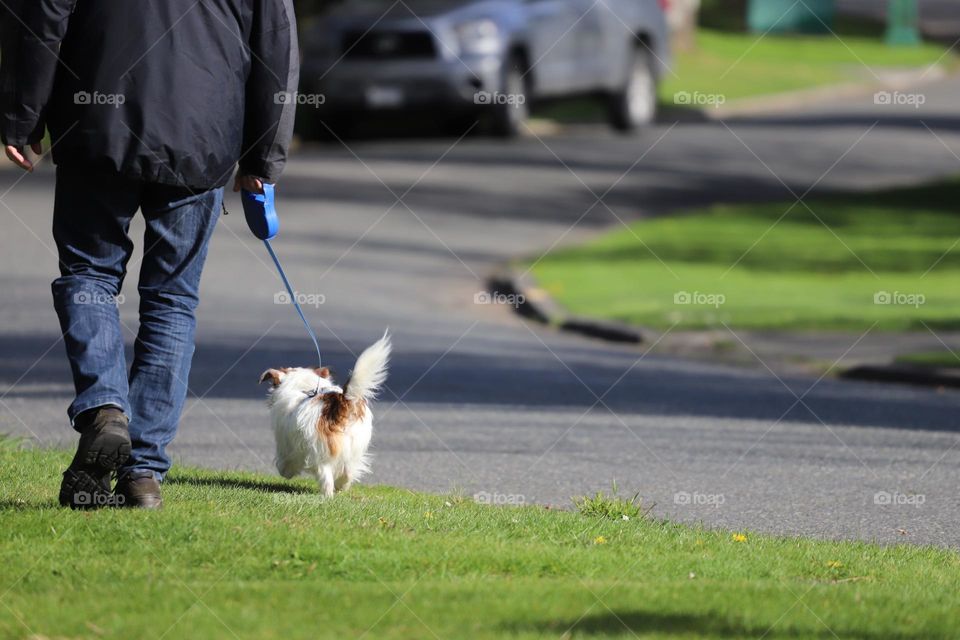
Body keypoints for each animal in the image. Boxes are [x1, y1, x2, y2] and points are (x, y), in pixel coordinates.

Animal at [258, 332, 390, 498]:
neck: (304, 387)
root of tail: (342, 402)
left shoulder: (286, 444)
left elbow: (285, 463)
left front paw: (285, 472)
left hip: (321, 455)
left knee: (326, 479)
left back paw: (327, 497)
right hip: (354, 449)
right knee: (348, 472)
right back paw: (341, 487)